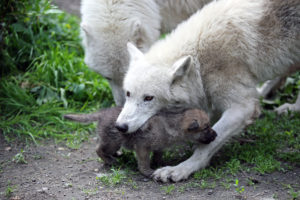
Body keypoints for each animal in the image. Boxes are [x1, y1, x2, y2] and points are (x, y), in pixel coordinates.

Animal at [116, 0, 298, 182]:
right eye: (128, 94)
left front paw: (181, 168)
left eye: (148, 98)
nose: (120, 126)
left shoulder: (242, 108)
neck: (199, 56)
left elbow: (209, 143)